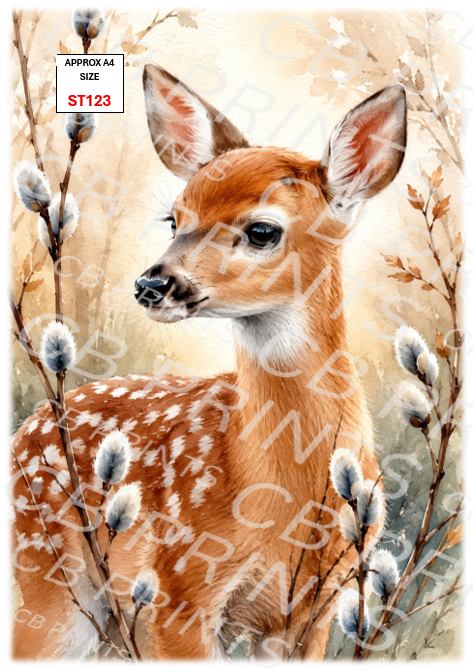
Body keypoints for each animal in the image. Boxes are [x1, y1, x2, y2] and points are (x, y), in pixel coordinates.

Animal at [11, 63, 407, 661]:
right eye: (175, 220)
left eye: (262, 230)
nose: (151, 285)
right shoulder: (180, 589)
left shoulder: (312, 609)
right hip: (45, 582)